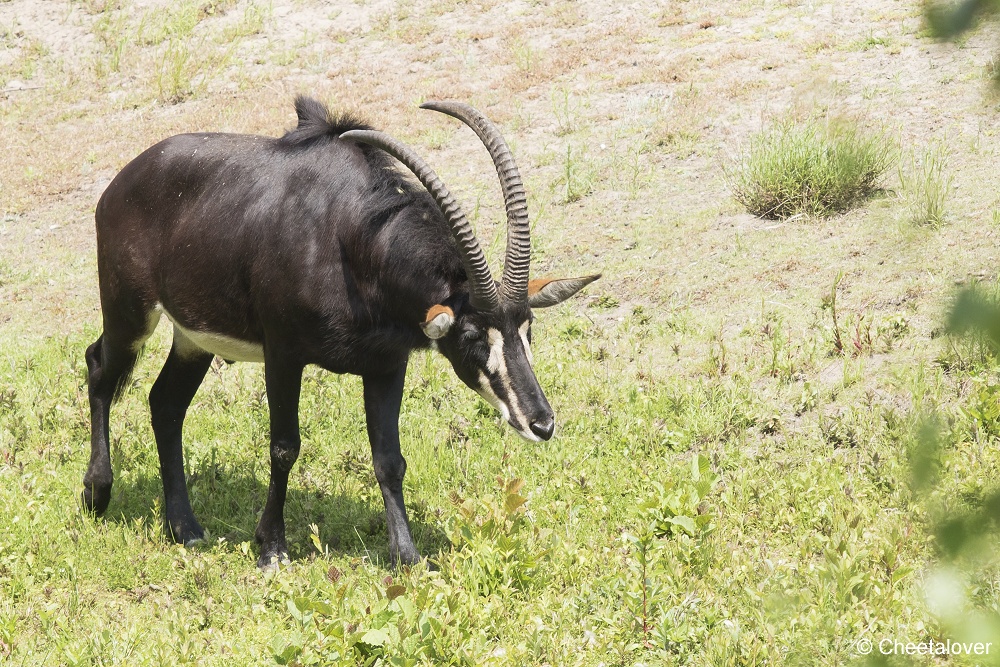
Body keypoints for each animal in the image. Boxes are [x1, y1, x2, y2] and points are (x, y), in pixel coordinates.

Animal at [82, 98, 596, 568]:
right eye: (472, 336)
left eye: (528, 329)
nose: (541, 423)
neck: (348, 239)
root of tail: (120, 184)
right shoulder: (283, 354)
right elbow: (284, 447)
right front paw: (271, 548)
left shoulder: (387, 365)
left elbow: (389, 459)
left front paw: (407, 556)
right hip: (130, 314)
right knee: (99, 367)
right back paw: (97, 494)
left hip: (194, 339)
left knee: (165, 403)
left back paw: (184, 527)